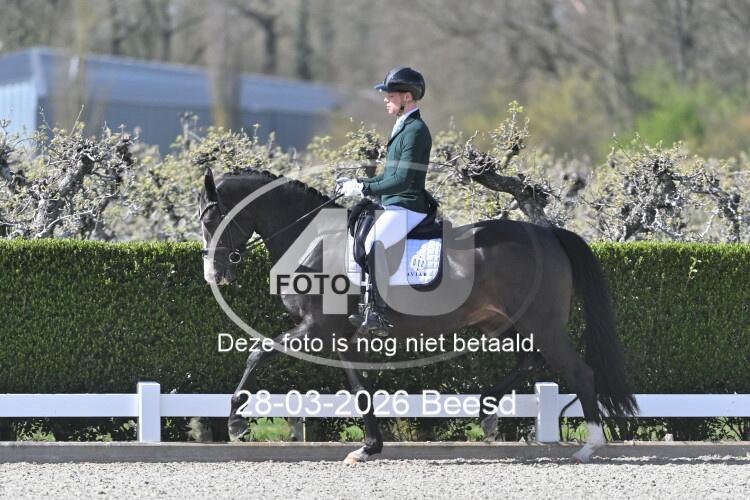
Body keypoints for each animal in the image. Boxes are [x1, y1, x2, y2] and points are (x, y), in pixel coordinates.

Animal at [198, 167, 638, 463]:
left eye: (210, 219)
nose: (214, 275)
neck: (312, 241)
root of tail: (548, 234)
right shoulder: (342, 337)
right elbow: (360, 388)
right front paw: (369, 448)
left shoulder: (315, 328)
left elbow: (259, 353)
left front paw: (236, 423)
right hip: (511, 322)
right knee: (531, 361)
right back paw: (488, 412)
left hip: (541, 324)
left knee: (579, 372)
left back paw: (589, 446)